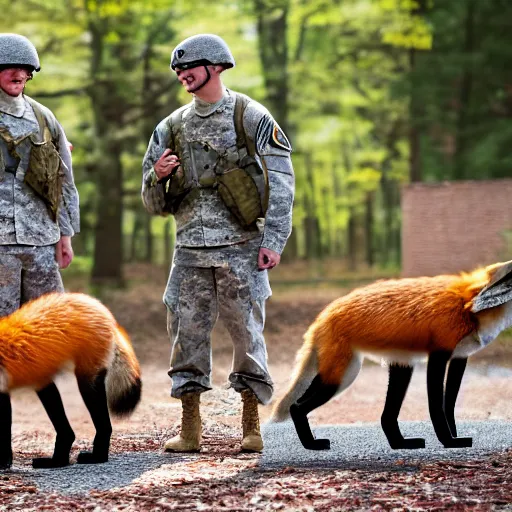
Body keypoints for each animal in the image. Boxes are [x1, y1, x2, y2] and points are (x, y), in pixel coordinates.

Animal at [0, 292, 141, 468]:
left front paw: (4, 461)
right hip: (44, 380)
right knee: (67, 431)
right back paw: (59, 460)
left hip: (87, 383)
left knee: (103, 427)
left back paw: (95, 457)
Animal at [272, 262, 512, 450]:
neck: (468, 307)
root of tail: (323, 315)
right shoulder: (439, 355)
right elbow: (437, 407)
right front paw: (449, 441)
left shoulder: (460, 357)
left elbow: (450, 405)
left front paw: (454, 438)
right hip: (341, 378)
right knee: (296, 406)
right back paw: (311, 444)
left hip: (392, 368)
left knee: (386, 418)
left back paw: (400, 443)